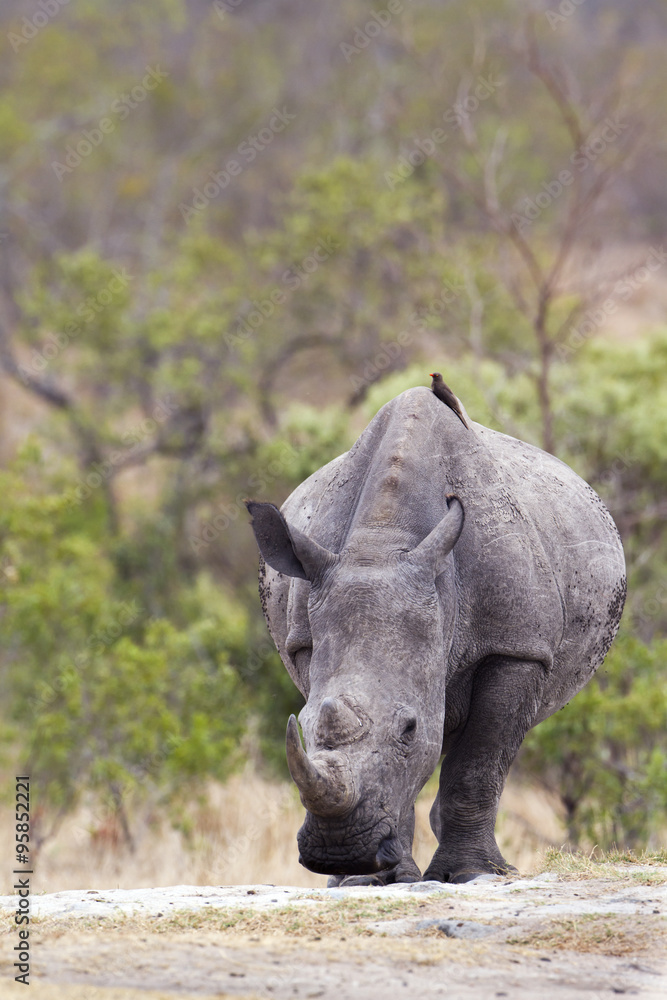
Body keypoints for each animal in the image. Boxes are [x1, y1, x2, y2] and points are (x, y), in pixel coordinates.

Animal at [246, 387, 626, 885]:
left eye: (409, 728)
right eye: (303, 729)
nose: (339, 851)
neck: (382, 543)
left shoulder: (516, 647)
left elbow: (477, 764)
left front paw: (471, 874)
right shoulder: (306, 640)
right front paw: (377, 879)